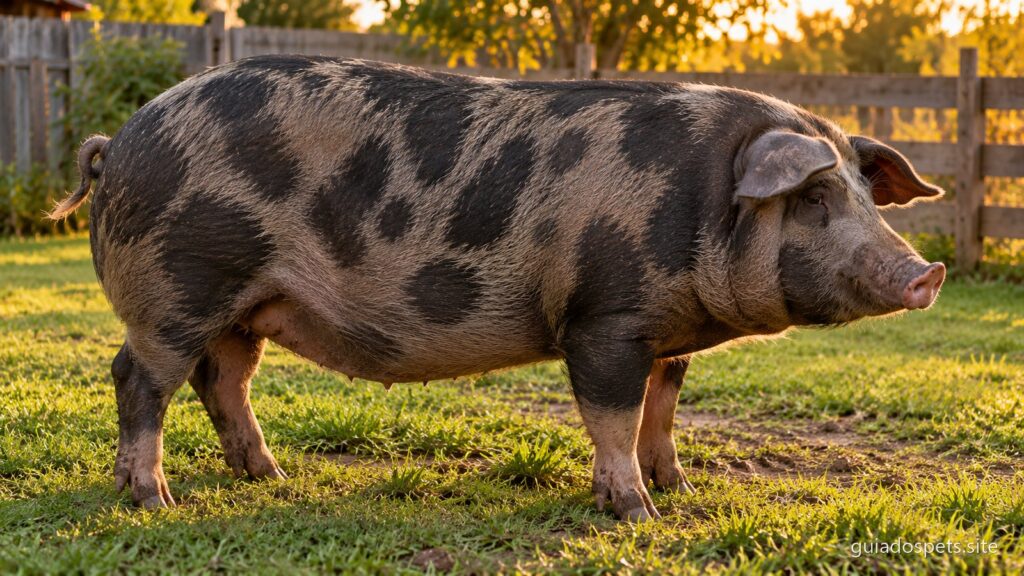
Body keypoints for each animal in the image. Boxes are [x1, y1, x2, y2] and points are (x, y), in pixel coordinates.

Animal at [50, 55, 946, 521]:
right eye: (816, 197)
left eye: (865, 195)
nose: (925, 272)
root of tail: (117, 140)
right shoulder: (604, 318)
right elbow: (613, 417)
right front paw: (636, 513)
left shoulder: (668, 331)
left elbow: (663, 410)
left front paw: (682, 487)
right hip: (178, 288)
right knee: (139, 380)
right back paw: (154, 500)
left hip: (245, 306)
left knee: (222, 381)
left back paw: (268, 477)